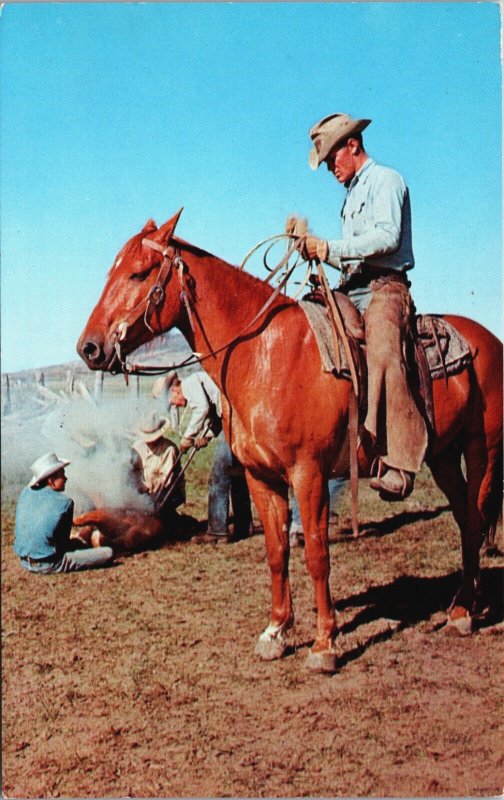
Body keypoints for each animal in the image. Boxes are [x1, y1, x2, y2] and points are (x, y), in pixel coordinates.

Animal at [77, 211, 502, 668]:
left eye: (139, 273)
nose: (89, 348)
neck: (264, 354)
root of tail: (488, 340)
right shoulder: (261, 477)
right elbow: (276, 551)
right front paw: (276, 631)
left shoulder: (309, 474)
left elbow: (316, 553)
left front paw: (324, 643)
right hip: (443, 456)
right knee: (465, 519)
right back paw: (464, 603)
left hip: (482, 449)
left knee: (475, 518)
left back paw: (463, 612)